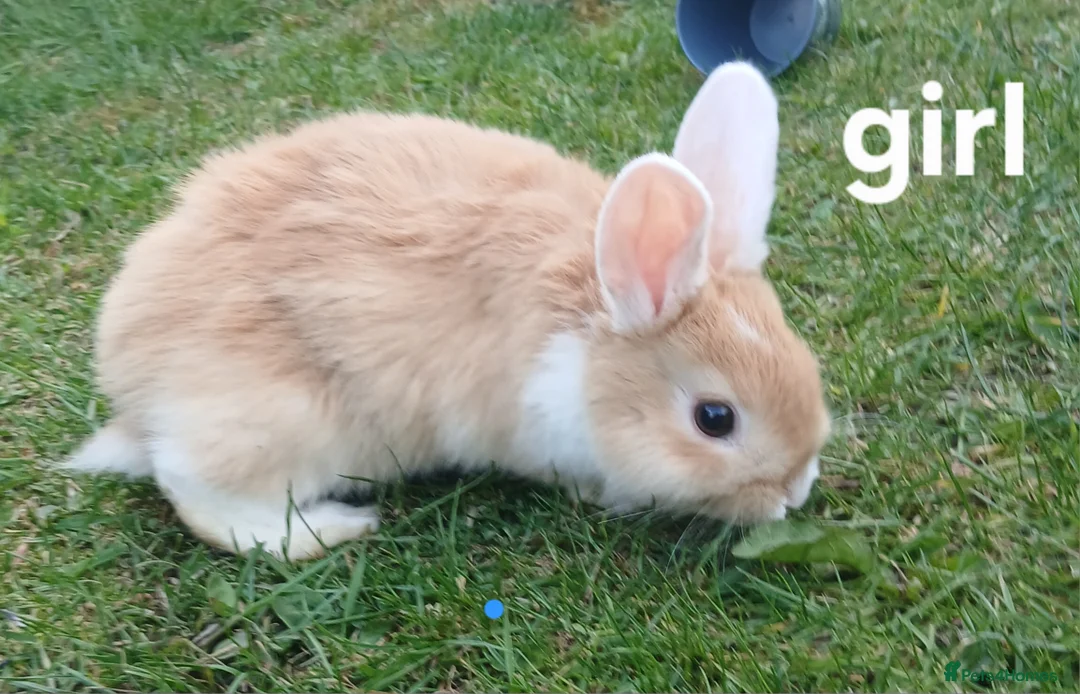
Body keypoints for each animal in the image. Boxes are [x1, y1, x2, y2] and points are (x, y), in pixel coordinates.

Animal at [65, 61, 831, 560]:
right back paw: (337, 528)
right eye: (714, 419)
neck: (591, 339)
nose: (794, 493)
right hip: (278, 425)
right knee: (202, 498)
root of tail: (134, 395)